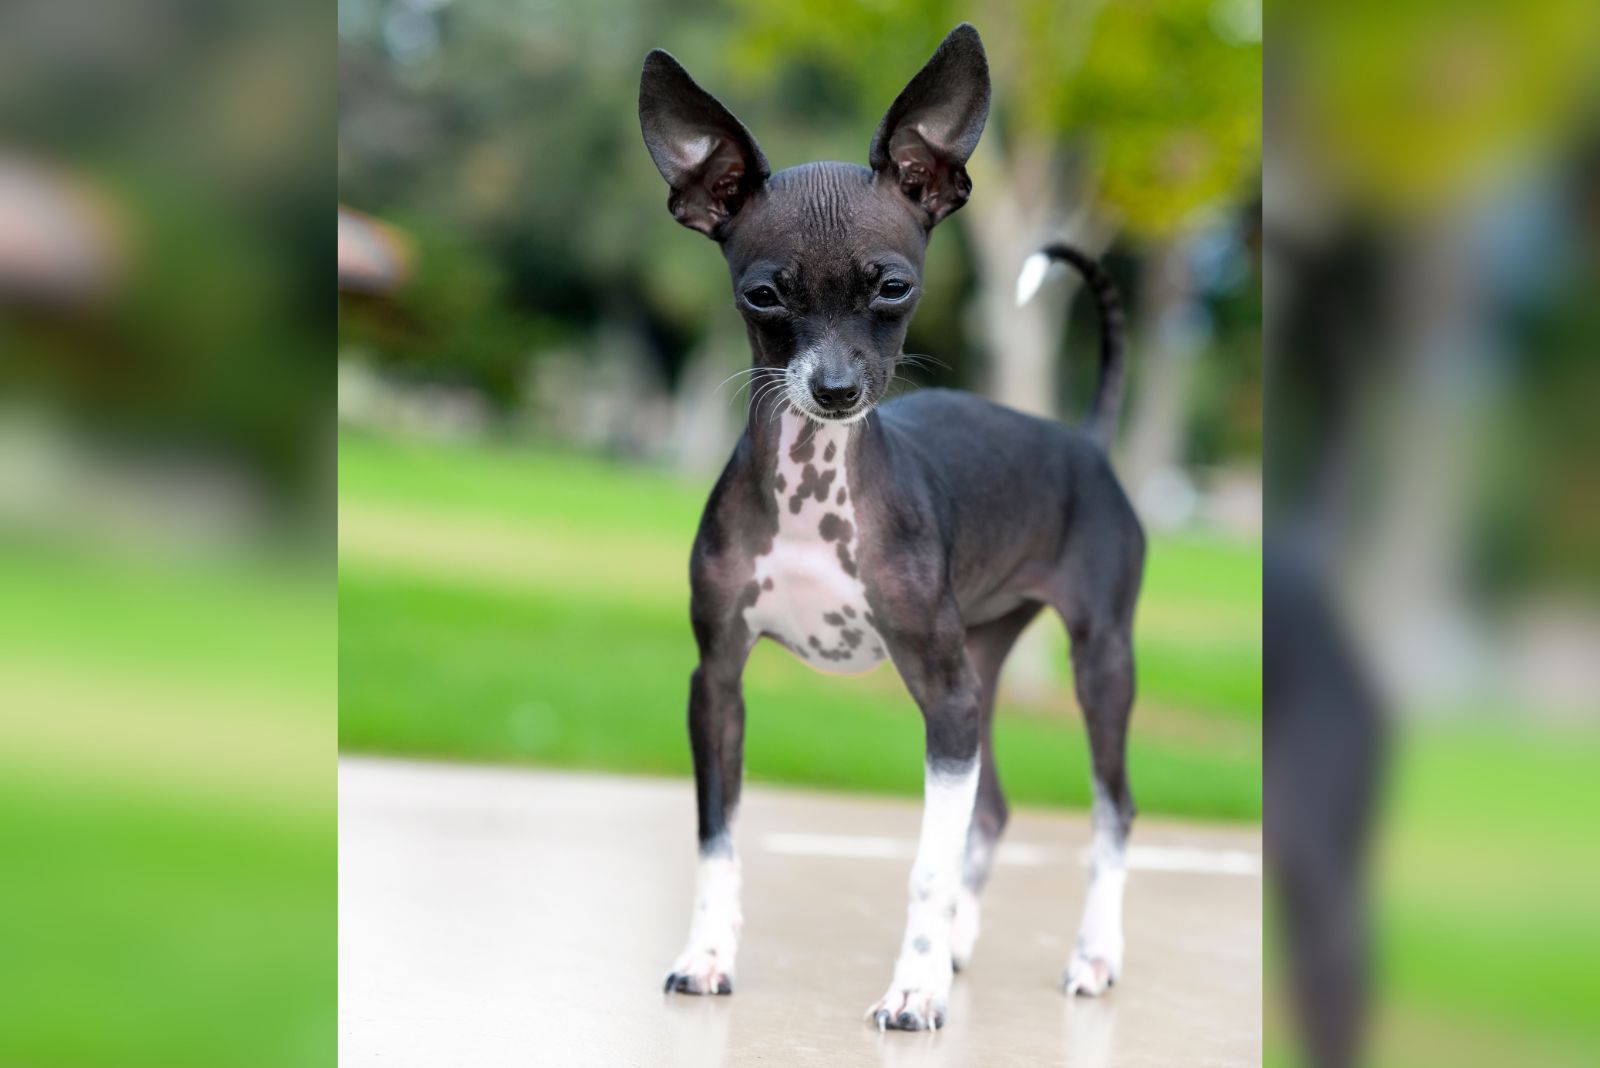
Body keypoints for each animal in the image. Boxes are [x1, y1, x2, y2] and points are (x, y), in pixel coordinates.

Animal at [636, 22, 1139, 1023]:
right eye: (764, 294)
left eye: (894, 287)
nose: (835, 390)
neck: (814, 491)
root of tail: (1085, 440)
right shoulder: (718, 682)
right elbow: (718, 841)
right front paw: (707, 956)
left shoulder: (943, 698)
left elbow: (927, 866)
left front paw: (913, 990)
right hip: (981, 659)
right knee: (996, 809)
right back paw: (961, 949)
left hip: (1094, 663)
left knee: (1111, 812)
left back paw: (1092, 956)